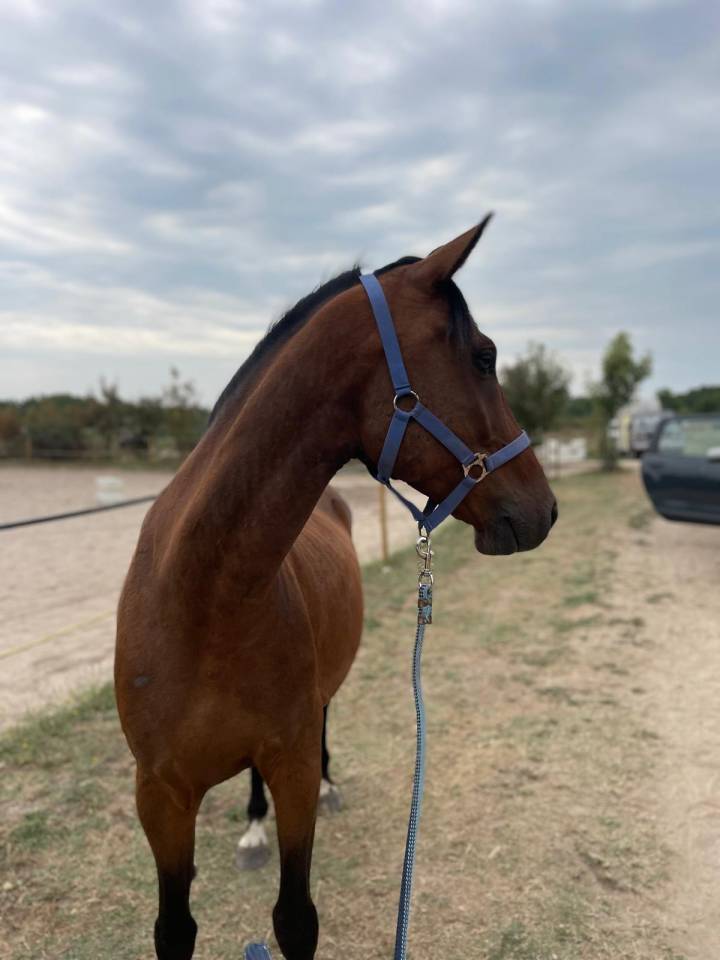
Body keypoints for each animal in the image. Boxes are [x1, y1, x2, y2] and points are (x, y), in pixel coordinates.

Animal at [115, 219, 557, 960]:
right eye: (484, 357)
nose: (544, 509)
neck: (203, 599)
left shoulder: (290, 766)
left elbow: (296, 918)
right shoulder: (160, 797)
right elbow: (174, 930)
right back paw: (252, 831)